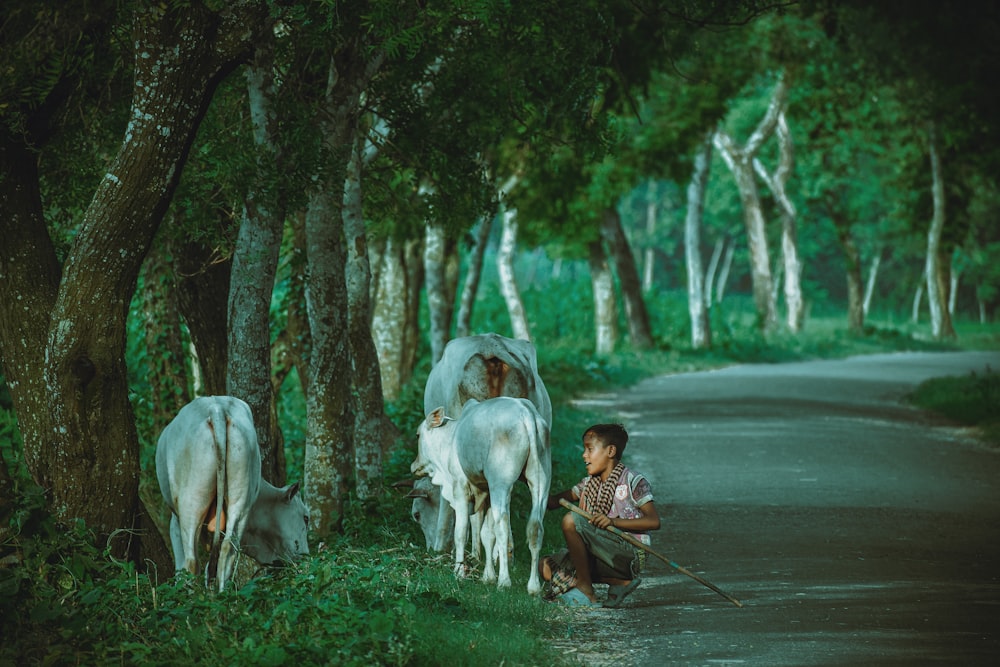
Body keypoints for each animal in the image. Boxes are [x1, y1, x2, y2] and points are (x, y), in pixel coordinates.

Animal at [156, 394, 308, 592]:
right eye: (306, 517)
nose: (306, 555)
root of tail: (217, 408)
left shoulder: (174, 519)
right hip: (240, 499)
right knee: (227, 551)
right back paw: (221, 594)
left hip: (191, 502)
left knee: (191, 561)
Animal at [414, 396, 556, 596]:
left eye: (418, 435)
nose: (414, 466)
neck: (451, 439)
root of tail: (526, 412)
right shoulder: (484, 491)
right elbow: (486, 534)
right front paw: (487, 577)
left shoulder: (461, 490)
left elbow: (461, 532)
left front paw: (459, 572)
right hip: (541, 480)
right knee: (536, 527)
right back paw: (533, 586)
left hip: (500, 483)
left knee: (503, 527)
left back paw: (504, 581)